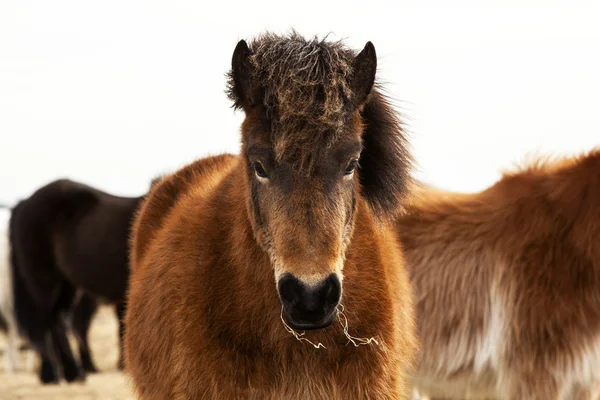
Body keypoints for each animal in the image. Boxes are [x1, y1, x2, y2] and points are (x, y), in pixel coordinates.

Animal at [9, 180, 146, 382]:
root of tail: (23, 203)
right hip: (43, 281)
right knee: (44, 323)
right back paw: (52, 375)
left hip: (67, 286)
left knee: (58, 321)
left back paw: (72, 373)